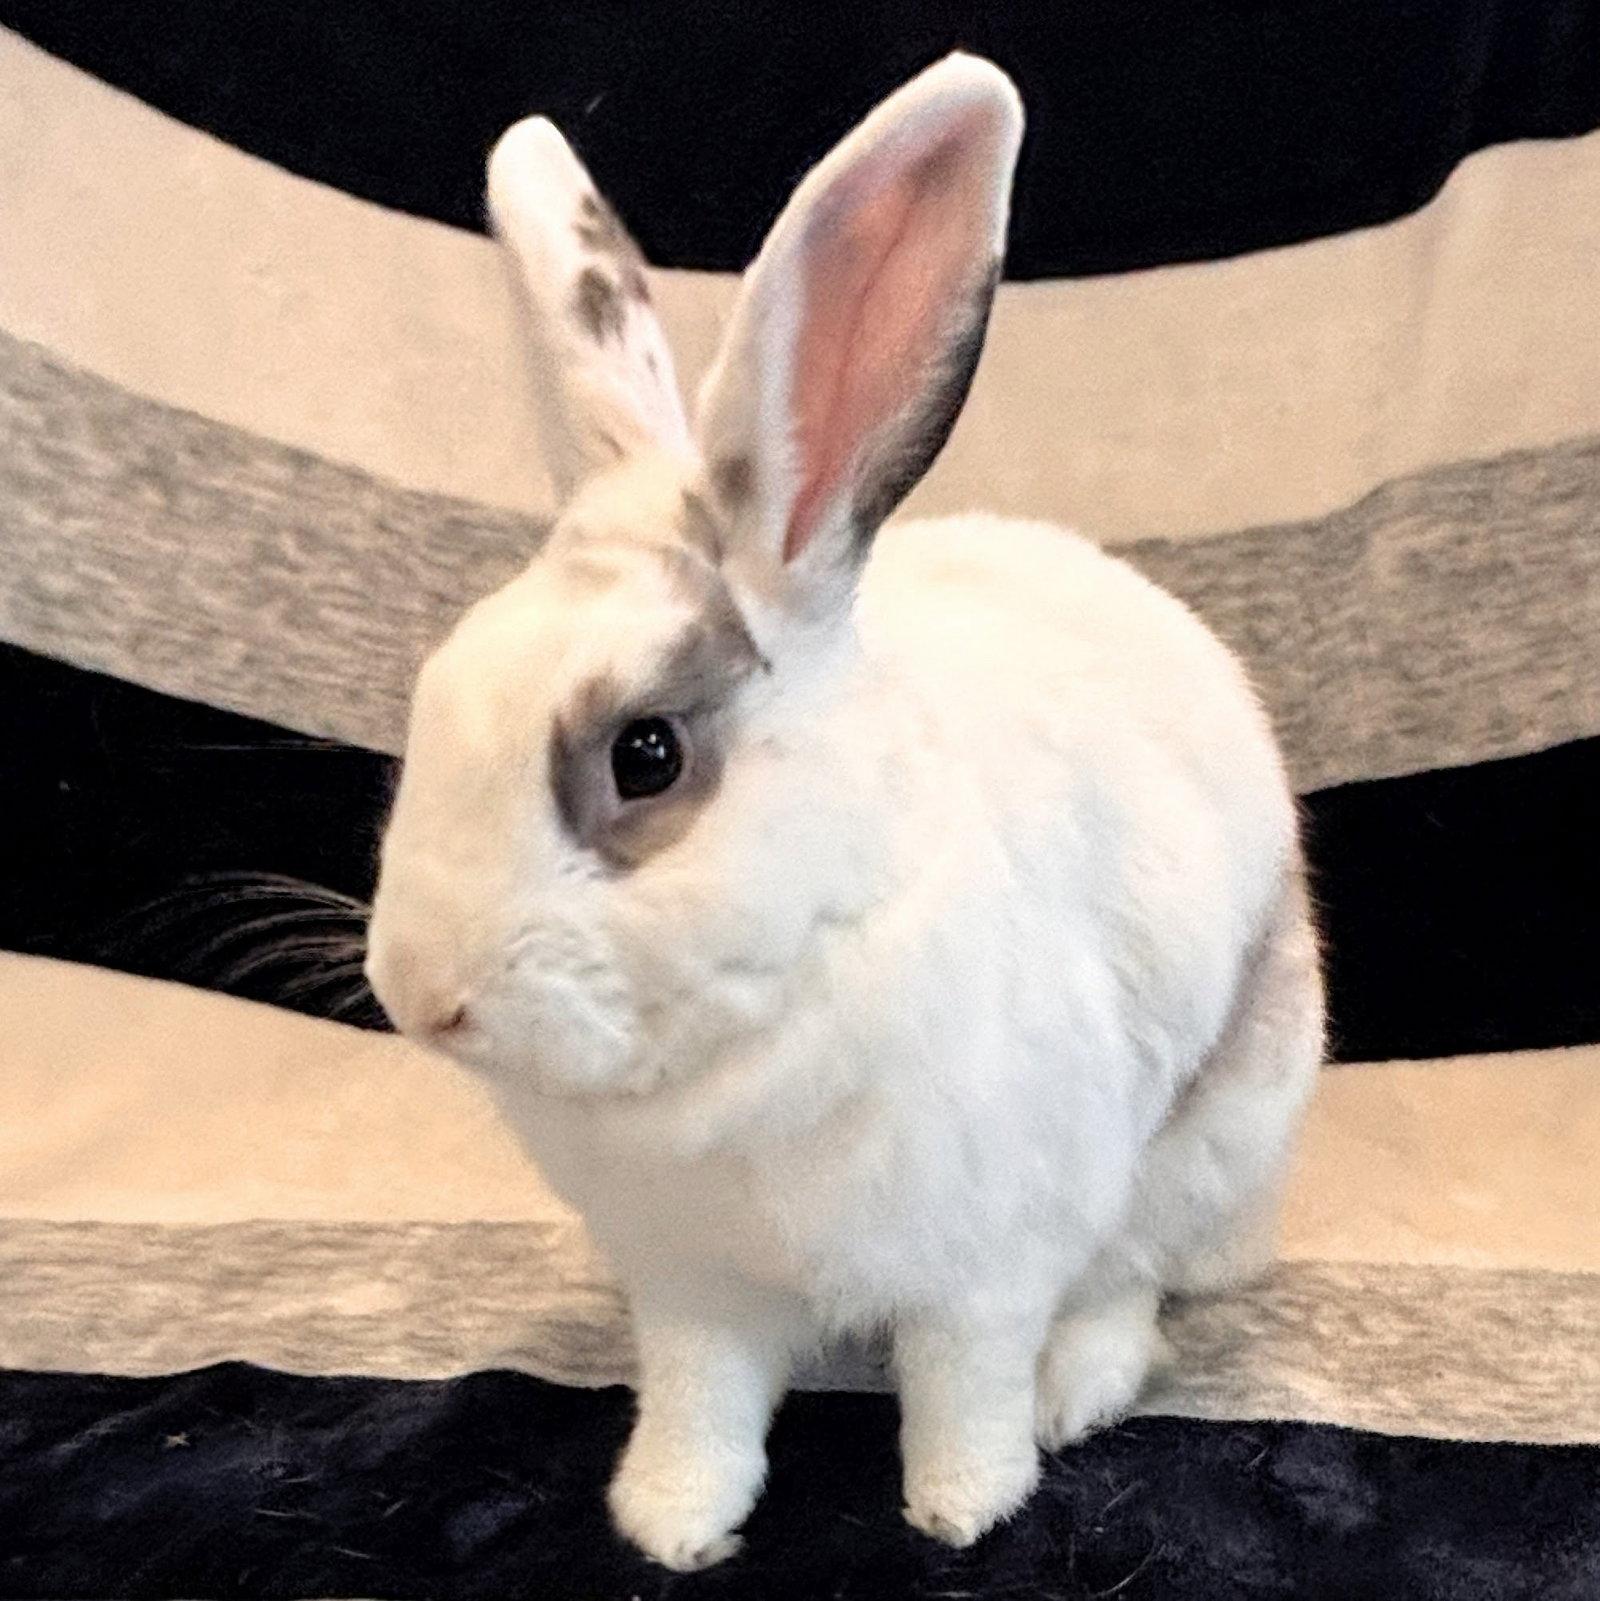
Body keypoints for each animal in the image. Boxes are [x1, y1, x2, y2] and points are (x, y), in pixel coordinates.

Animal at [365, 52, 1323, 1572]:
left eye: (646, 753)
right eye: (432, 692)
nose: (420, 996)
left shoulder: (986, 1264)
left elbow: (964, 1385)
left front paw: (965, 1505)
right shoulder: (691, 1286)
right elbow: (701, 1402)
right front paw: (670, 1521)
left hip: (1206, 1145)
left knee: (1131, 1283)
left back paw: (1074, 1393)